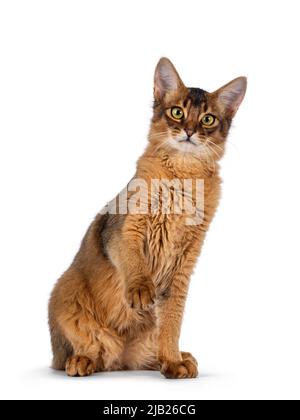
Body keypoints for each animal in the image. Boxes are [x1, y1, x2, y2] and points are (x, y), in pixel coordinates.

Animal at [48, 57, 246, 378]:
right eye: (177, 112)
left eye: (208, 119)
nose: (189, 131)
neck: (183, 177)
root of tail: (120, 360)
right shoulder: (124, 229)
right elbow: (134, 261)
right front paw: (141, 289)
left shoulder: (185, 261)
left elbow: (173, 319)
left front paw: (173, 360)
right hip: (63, 293)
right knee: (83, 348)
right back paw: (82, 360)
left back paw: (175, 357)